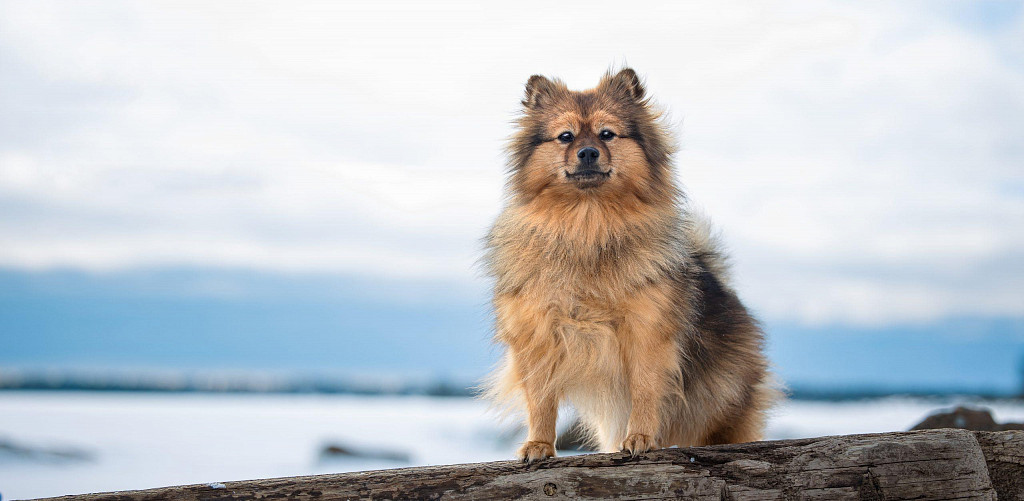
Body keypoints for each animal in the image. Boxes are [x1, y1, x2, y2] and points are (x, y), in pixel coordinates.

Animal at [483, 68, 778, 458]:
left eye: (607, 134)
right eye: (566, 137)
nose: (588, 152)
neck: (588, 228)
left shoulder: (646, 333)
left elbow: (645, 390)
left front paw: (639, 438)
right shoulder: (538, 338)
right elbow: (541, 400)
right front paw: (539, 445)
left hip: (721, 407)